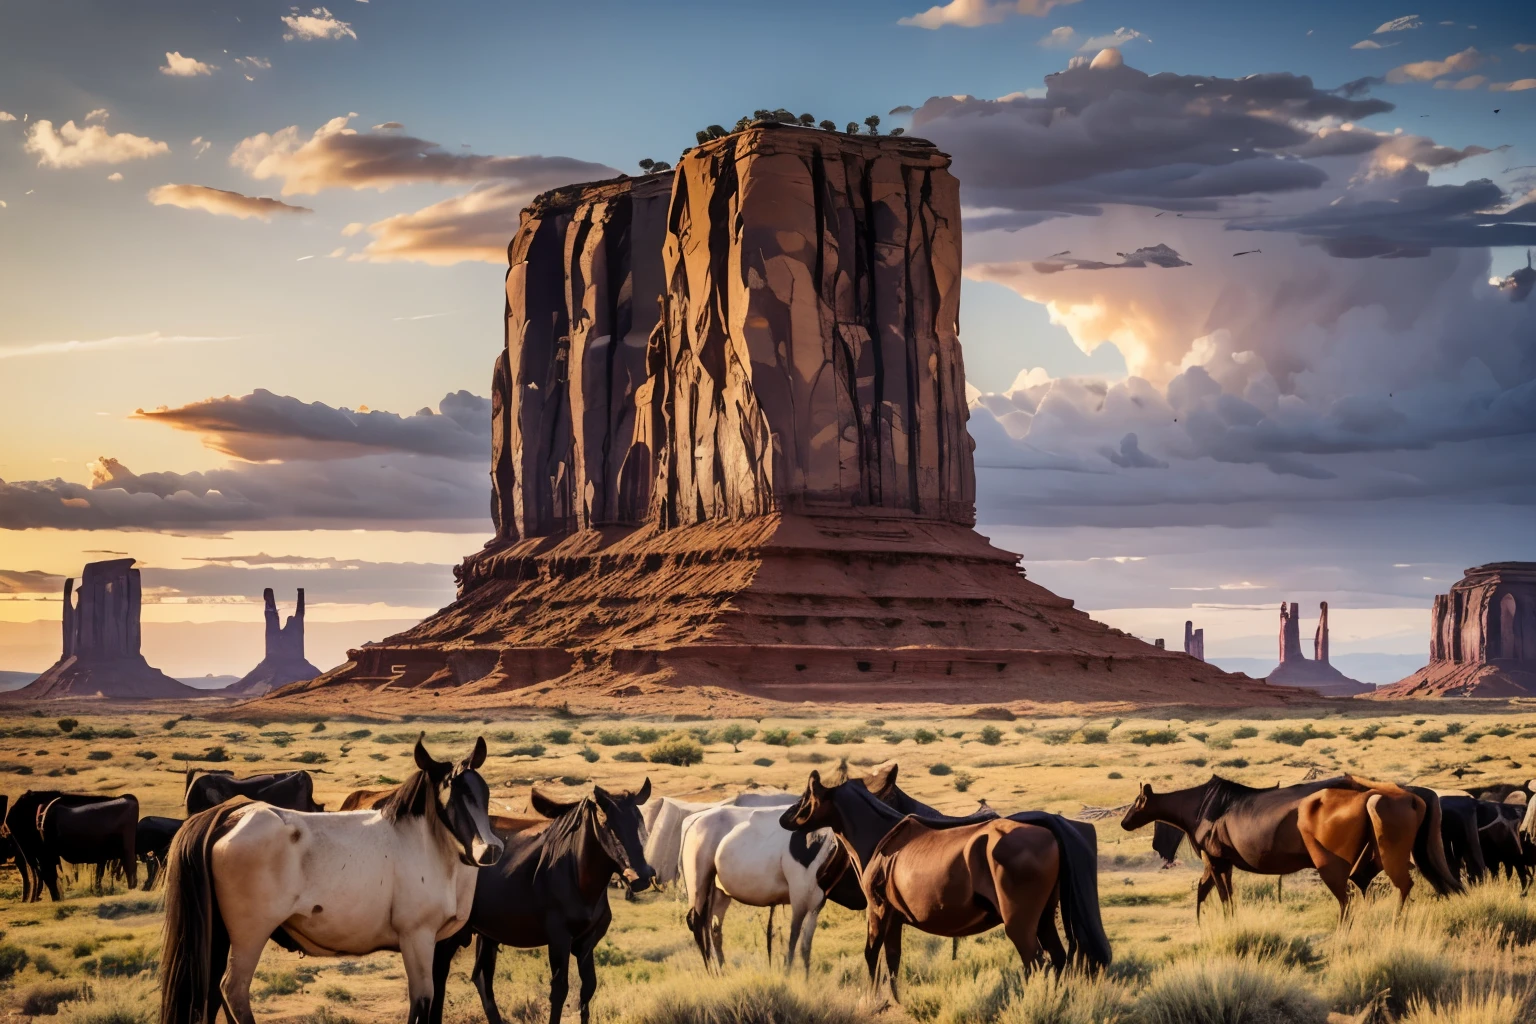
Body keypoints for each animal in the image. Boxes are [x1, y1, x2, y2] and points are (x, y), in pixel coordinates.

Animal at [427, 779, 654, 1024]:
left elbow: (588, 989)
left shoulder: (587, 942)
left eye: (639, 821)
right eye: (607, 823)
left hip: (487, 934)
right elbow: (559, 990)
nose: (640, 876)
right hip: (452, 932)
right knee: (438, 976)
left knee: (481, 978)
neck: (576, 875)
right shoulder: (559, 939)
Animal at [780, 767, 1105, 1000]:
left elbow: (871, 955)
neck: (881, 835)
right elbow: (893, 959)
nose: (785, 818)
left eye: (807, 796)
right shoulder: (894, 918)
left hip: (1020, 924)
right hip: (1045, 918)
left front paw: (871, 999)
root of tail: (1047, 830)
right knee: (1058, 958)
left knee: (1036, 962)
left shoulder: (878, 910)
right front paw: (895, 1001)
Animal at [1118, 776, 1462, 921]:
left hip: (1333, 865)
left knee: (1365, 894)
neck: (1199, 807)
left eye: (1137, 802)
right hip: (1377, 858)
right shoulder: (1221, 864)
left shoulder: (1215, 861)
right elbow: (1207, 894)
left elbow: (1221, 897)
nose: (1124, 822)